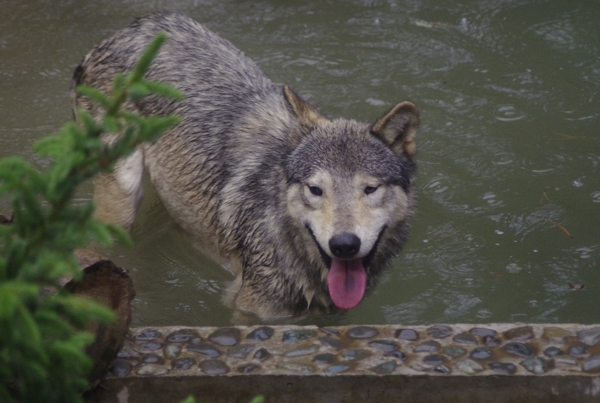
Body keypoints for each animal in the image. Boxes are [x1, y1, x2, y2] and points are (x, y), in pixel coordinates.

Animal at [72, 12, 420, 320]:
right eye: (316, 190)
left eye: (370, 189)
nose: (344, 245)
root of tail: (130, 29)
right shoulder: (250, 312)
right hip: (122, 199)